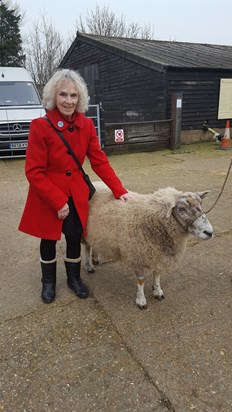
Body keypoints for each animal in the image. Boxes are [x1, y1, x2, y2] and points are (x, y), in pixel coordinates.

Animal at [82, 182, 213, 308]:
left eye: (201, 204)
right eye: (181, 209)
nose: (209, 232)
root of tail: (95, 182)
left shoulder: (159, 254)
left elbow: (157, 274)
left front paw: (157, 291)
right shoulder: (137, 256)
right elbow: (141, 281)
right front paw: (141, 300)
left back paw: (95, 258)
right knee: (87, 247)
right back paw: (89, 265)